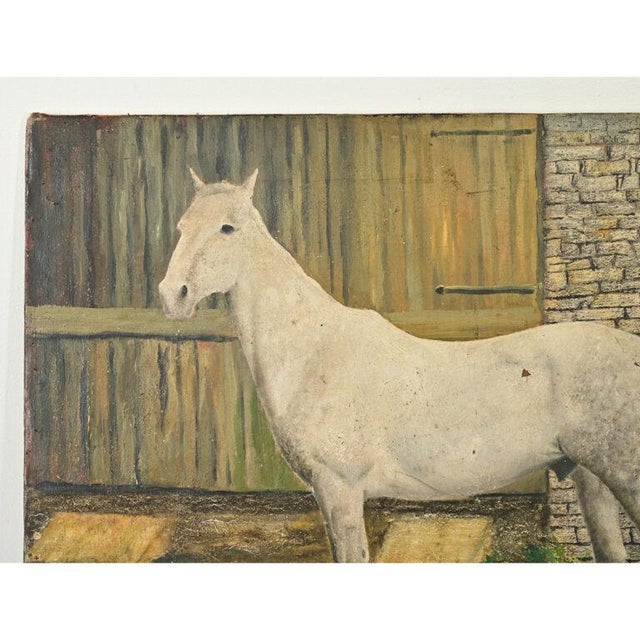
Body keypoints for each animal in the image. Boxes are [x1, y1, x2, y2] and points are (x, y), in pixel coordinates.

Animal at [159, 168, 640, 562]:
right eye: (182, 225)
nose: (171, 295)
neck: (313, 351)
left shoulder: (340, 489)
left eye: (228, 228)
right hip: (591, 480)